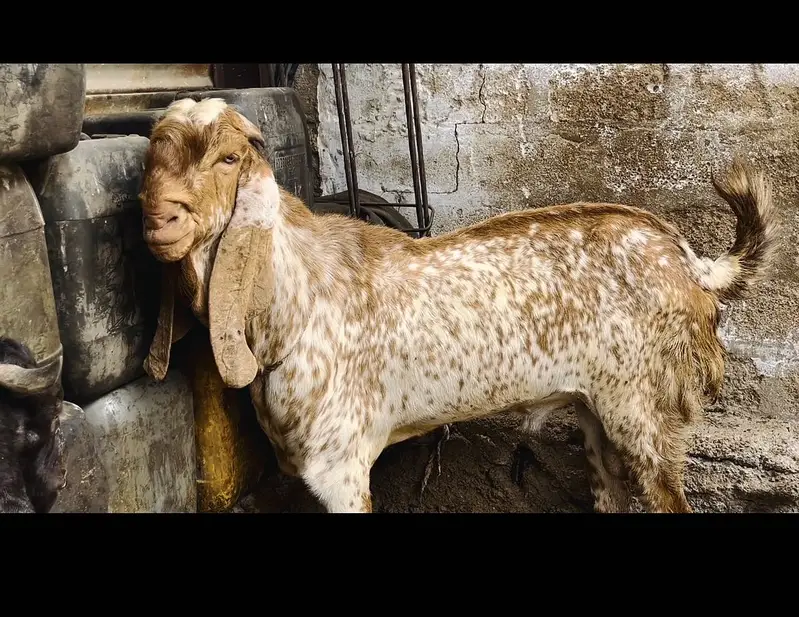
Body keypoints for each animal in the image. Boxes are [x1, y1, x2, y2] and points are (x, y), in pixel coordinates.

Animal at [139, 97, 778, 513]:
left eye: (227, 159)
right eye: (150, 161)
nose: (159, 219)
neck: (294, 297)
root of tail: (690, 260)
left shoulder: (341, 464)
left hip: (645, 411)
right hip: (598, 407)